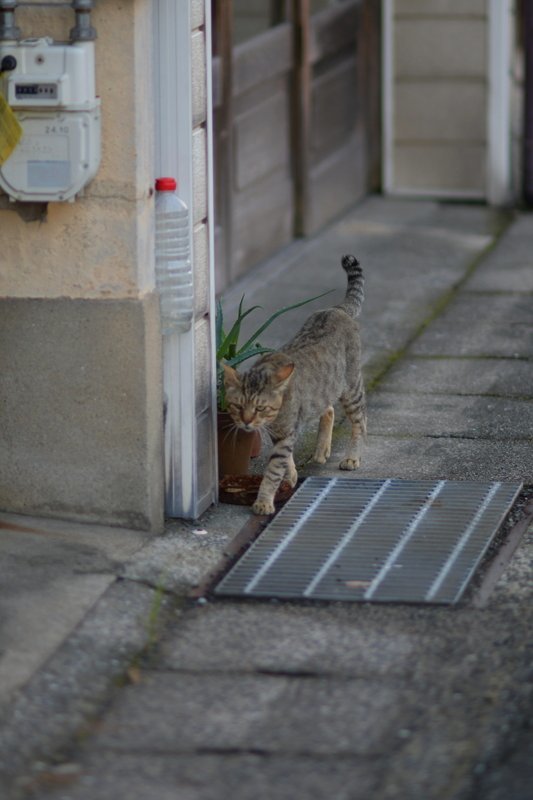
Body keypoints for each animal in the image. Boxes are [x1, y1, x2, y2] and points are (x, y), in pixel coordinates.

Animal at [221, 260, 366, 516]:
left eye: (259, 408)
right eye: (237, 406)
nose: (246, 422)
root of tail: (336, 309)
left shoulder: (287, 432)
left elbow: (273, 470)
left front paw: (264, 501)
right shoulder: (277, 434)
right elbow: (284, 462)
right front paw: (291, 476)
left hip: (350, 386)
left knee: (360, 421)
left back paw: (352, 457)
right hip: (326, 390)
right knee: (329, 409)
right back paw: (321, 451)